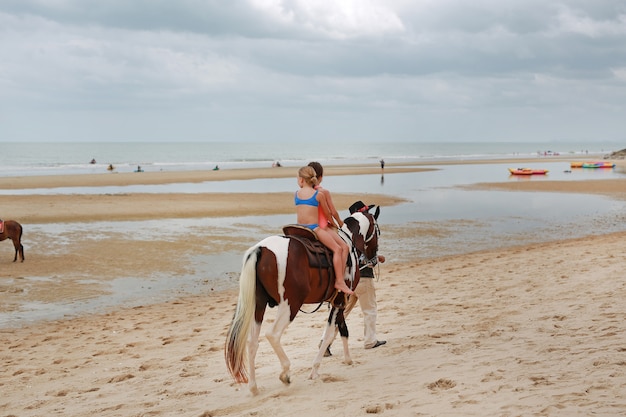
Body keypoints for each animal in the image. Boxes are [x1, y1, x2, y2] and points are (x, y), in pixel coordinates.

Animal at [225, 207, 378, 394]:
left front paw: (348, 359)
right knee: (272, 334)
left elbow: (342, 329)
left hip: (259, 306)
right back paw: (285, 372)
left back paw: (254, 387)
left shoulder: (339, 301)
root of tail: (261, 249)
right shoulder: (340, 300)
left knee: (252, 342)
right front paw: (315, 369)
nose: (374, 258)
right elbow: (329, 334)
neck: (348, 240)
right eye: (378, 230)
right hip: (290, 305)